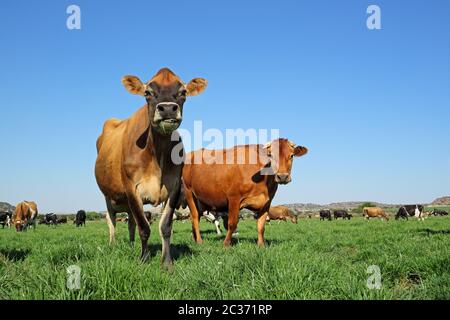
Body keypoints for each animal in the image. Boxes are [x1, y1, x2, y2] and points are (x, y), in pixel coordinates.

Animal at [96, 67, 208, 264]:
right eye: (147, 93)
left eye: (183, 92)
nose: (168, 108)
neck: (157, 155)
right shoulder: (131, 188)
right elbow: (144, 227)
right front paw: (144, 258)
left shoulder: (173, 187)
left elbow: (165, 226)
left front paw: (166, 261)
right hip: (109, 196)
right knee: (112, 221)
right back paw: (113, 245)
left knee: (130, 222)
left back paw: (131, 244)